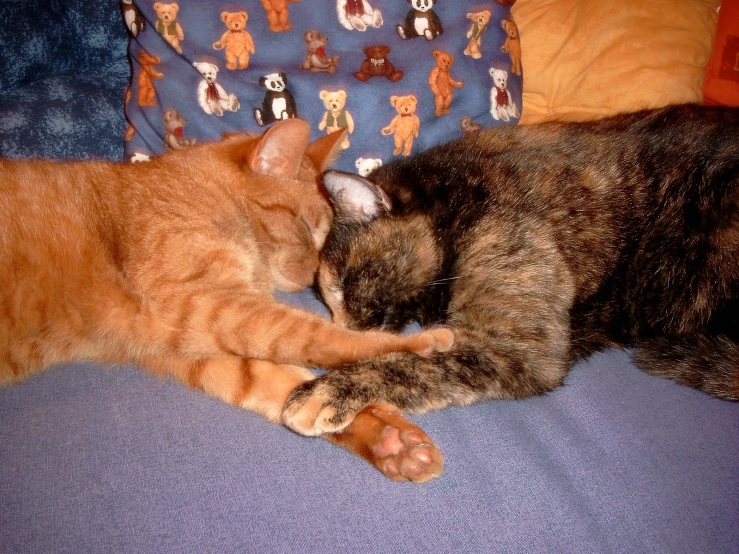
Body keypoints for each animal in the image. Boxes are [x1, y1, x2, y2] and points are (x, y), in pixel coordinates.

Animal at [0, 118, 454, 480]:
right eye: (307, 227)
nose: (314, 278)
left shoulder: (187, 345)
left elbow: (287, 383)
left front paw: (388, 438)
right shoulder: (204, 304)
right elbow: (322, 337)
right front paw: (417, 343)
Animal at [282, 103, 739, 448]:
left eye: (342, 285)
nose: (341, 328)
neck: (463, 197)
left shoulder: (513, 347)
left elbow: (411, 364)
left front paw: (325, 391)